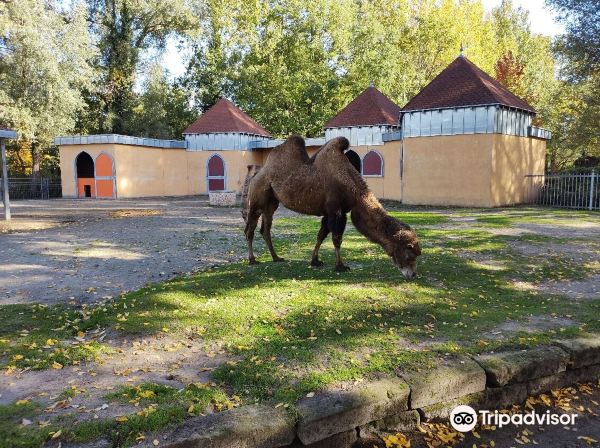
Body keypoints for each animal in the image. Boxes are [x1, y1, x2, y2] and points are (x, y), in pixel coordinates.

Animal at [241, 135, 420, 278]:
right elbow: (336, 238)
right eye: (410, 255)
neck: (353, 189)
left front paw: (315, 261)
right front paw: (340, 266)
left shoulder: (328, 212)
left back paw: (276, 257)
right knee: (250, 228)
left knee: (265, 229)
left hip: (271, 203)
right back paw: (252, 259)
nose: (412, 274)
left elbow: (321, 235)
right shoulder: (336, 210)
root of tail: (256, 174)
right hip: (257, 198)